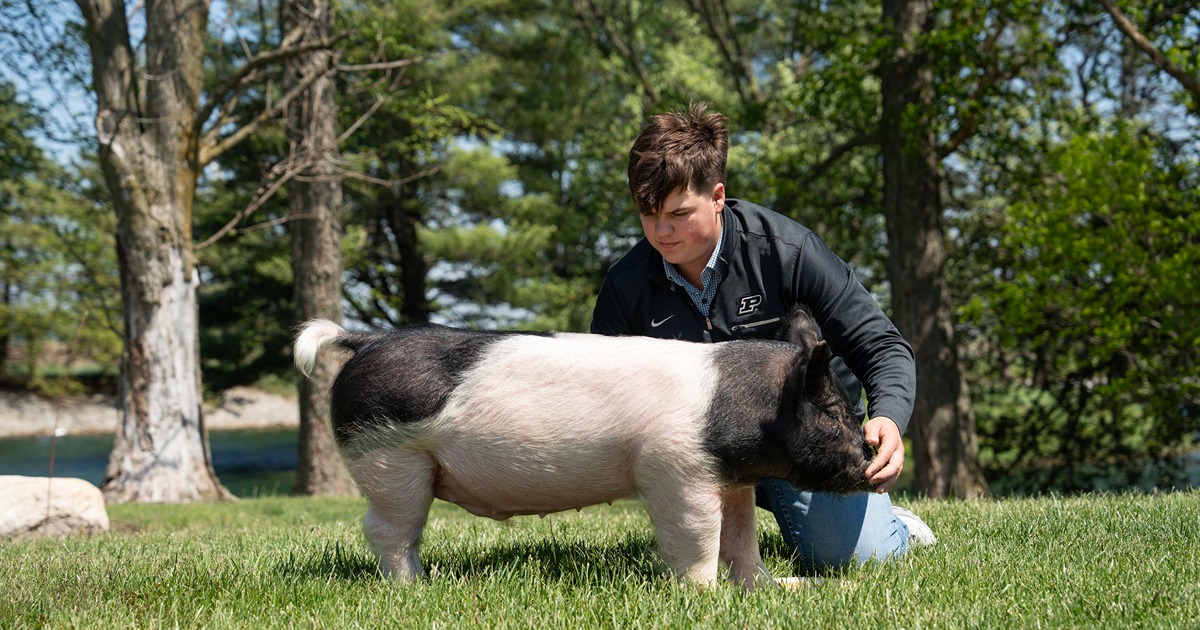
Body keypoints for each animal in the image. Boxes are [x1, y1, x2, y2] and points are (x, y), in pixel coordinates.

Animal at [292, 306, 875, 589]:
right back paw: (417, 587)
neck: (742, 409)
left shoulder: (729, 478)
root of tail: (367, 340)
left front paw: (773, 588)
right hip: (389, 457)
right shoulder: (673, 468)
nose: (872, 460)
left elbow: (741, 537)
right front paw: (705, 596)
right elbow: (698, 535)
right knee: (386, 529)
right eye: (835, 413)